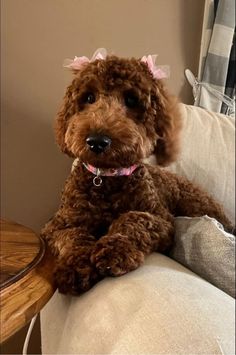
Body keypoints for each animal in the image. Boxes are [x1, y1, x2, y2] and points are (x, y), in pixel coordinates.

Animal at [41, 54, 233, 296]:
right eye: (89, 97)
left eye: (131, 100)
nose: (97, 141)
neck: (107, 180)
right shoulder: (58, 224)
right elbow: (73, 238)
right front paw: (75, 267)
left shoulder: (161, 220)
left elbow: (134, 219)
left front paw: (115, 250)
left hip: (197, 205)